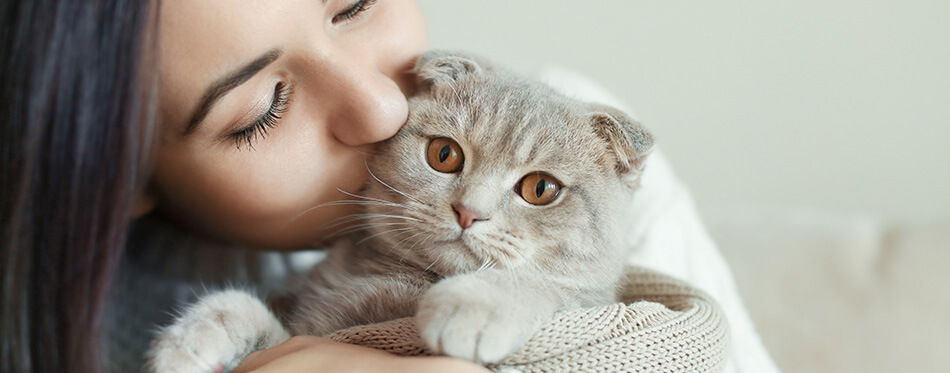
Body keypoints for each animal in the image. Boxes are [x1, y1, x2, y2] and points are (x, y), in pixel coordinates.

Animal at [147, 50, 656, 370]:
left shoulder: (588, 304)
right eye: (444, 155)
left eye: (541, 188)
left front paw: (473, 306)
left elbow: (541, 285)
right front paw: (187, 342)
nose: (468, 211)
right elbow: (238, 306)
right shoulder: (304, 330)